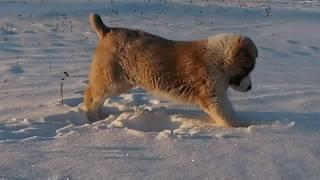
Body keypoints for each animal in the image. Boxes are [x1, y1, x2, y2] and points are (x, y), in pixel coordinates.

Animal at [82, 13, 258, 127]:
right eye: (247, 68)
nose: (250, 87)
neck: (220, 60)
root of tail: (108, 30)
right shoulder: (213, 97)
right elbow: (227, 115)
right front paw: (243, 127)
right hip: (111, 79)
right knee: (91, 96)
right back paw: (92, 119)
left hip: (123, 82)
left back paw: (101, 116)